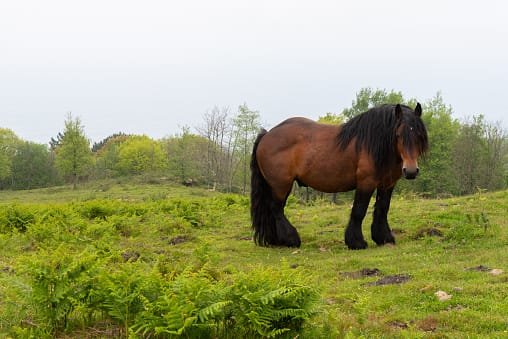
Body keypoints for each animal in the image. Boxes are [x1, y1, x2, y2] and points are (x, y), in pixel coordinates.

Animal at [250, 103, 428, 250]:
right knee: (276, 209)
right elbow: (359, 211)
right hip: (280, 185)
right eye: (398, 135)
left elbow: (382, 209)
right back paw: (291, 240)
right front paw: (356, 242)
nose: (411, 171)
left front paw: (383, 238)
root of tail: (267, 135)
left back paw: (276, 240)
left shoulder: (387, 184)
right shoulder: (366, 182)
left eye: (419, 135)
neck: (374, 144)